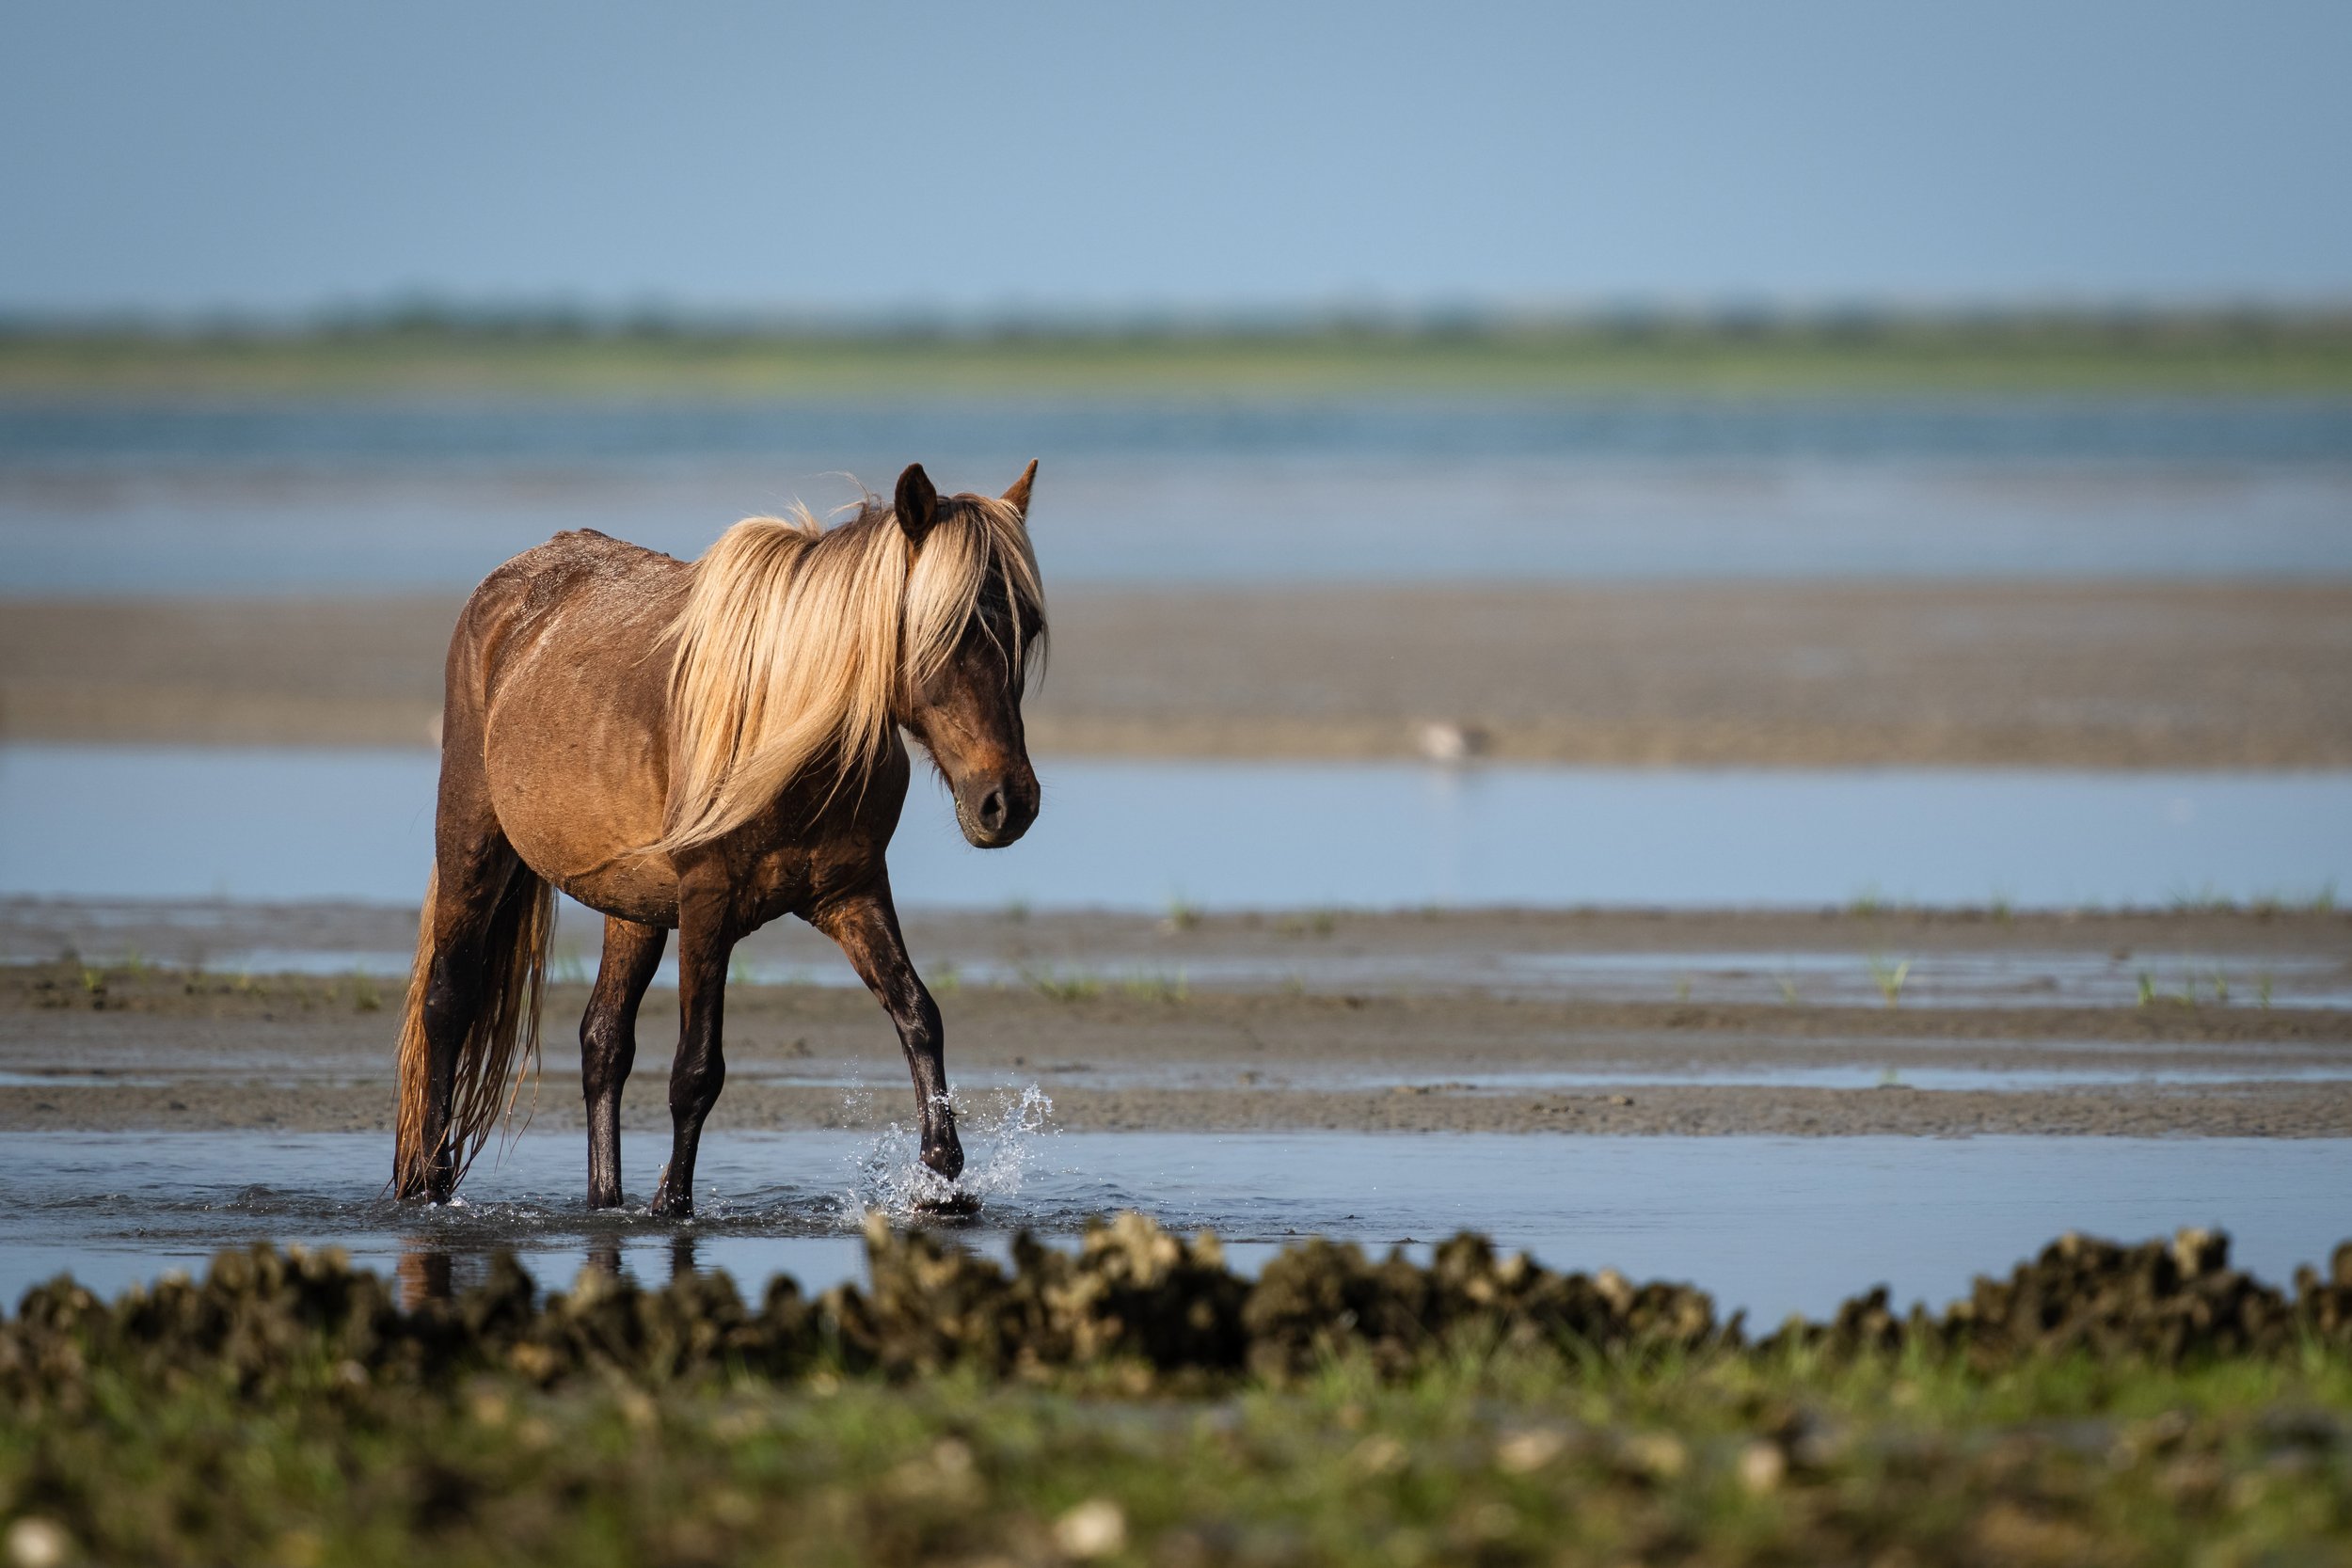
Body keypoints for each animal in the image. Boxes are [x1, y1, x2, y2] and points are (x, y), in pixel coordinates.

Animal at [390, 461, 1045, 1217]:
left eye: (1027, 627)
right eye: (946, 629)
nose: (1008, 802)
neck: (786, 721)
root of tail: (505, 587)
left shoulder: (852, 893)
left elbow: (919, 1015)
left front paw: (942, 1179)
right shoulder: (708, 903)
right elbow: (697, 1069)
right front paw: (672, 1205)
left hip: (633, 909)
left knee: (602, 1042)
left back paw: (603, 1199)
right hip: (474, 844)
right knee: (448, 1004)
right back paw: (429, 1185)